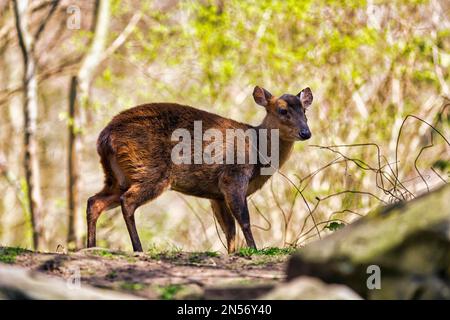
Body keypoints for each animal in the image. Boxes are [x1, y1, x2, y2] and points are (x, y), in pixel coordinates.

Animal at [87, 85, 312, 252]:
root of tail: (105, 137)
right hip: (150, 170)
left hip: (117, 176)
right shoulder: (233, 176)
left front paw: (233, 254)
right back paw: (138, 249)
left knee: (94, 202)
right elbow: (244, 220)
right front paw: (253, 251)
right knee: (127, 201)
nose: (306, 132)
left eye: (305, 111)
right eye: (282, 110)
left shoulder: (217, 194)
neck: (258, 153)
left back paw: (91, 247)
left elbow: (229, 229)